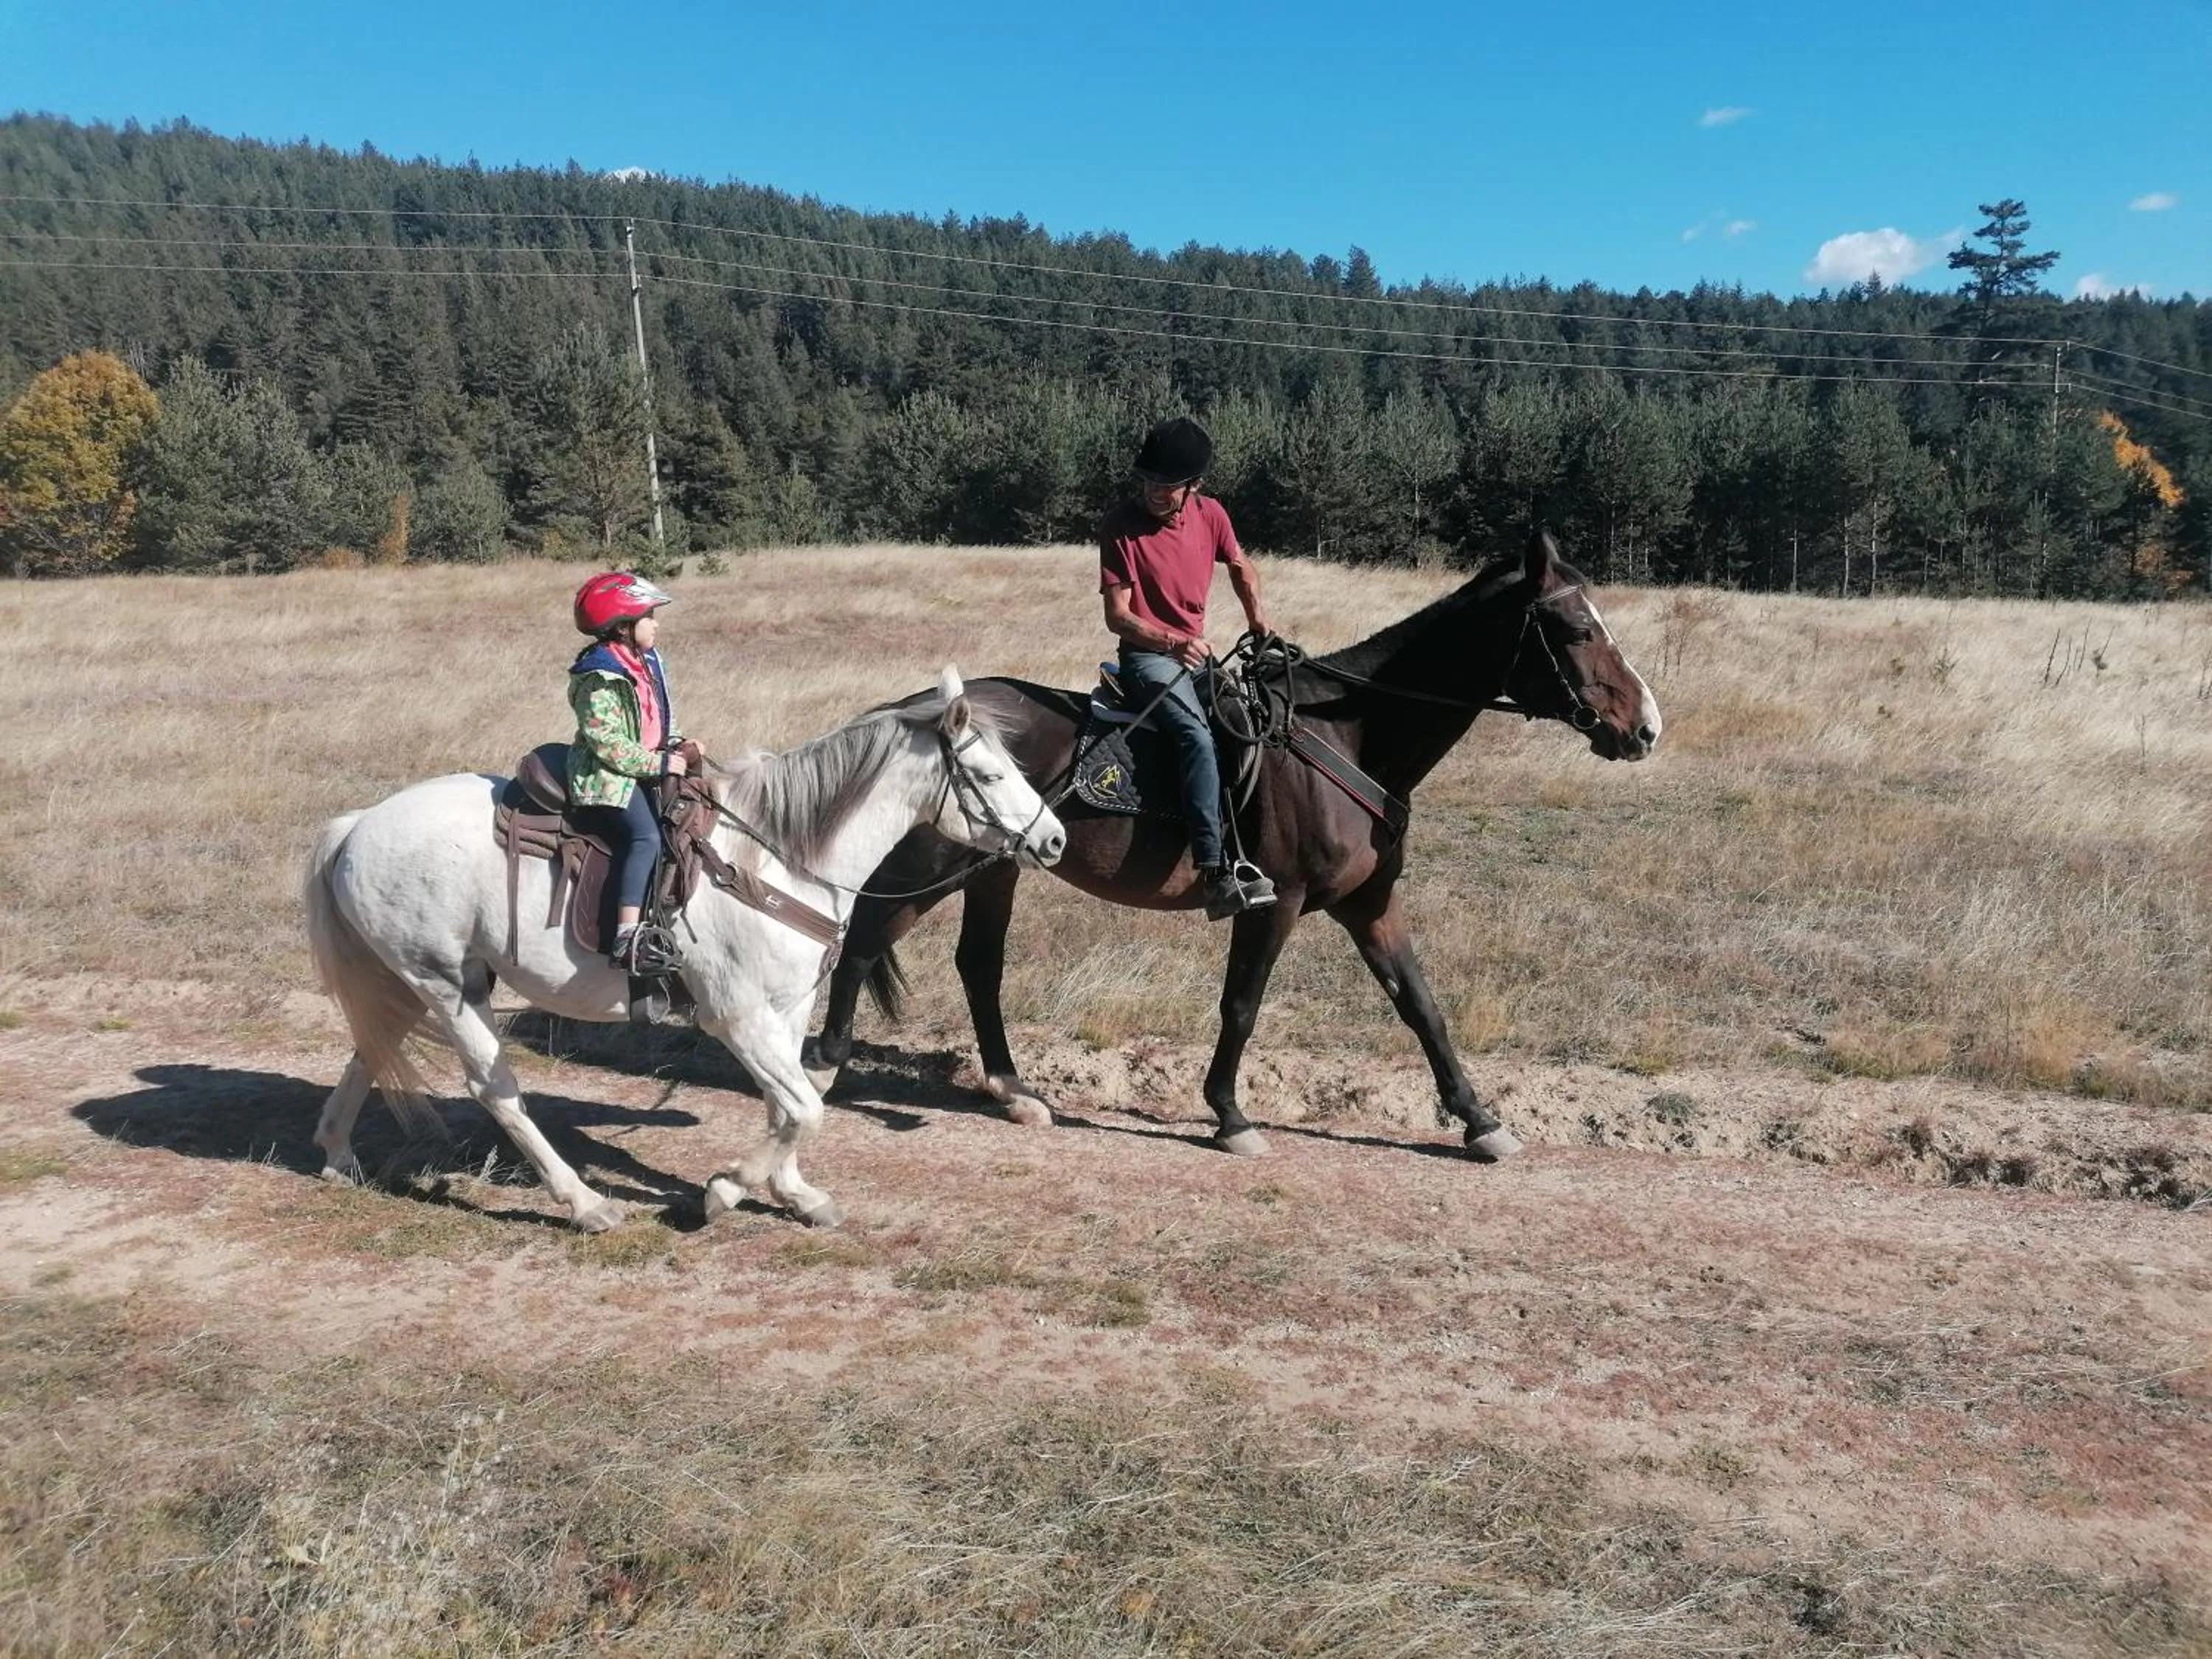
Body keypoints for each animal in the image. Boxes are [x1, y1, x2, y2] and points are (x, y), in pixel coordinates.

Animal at [301, 670, 1065, 1232]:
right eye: (989, 776)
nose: (1053, 839)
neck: (777, 856)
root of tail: (357, 826)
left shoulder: (787, 1010)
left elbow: (790, 1105)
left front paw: (794, 1193)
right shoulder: (737, 1016)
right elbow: (803, 1109)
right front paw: (726, 1189)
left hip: (424, 979)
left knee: (372, 1050)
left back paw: (337, 1154)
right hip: (449, 986)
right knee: (495, 1090)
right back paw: (584, 1204)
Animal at [804, 532, 1660, 1160]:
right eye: (1577, 629)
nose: (1645, 728)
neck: (1348, 735)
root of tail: (923, 711)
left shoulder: (1370, 903)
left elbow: (1421, 1006)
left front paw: (1480, 1120)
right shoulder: (1272, 900)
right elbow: (1242, 1006)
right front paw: (1229, 1115)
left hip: (993, 870)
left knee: (979, 967)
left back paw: (1015, 1093)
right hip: (935, 866)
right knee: (865, 938)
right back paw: (824, 1064)